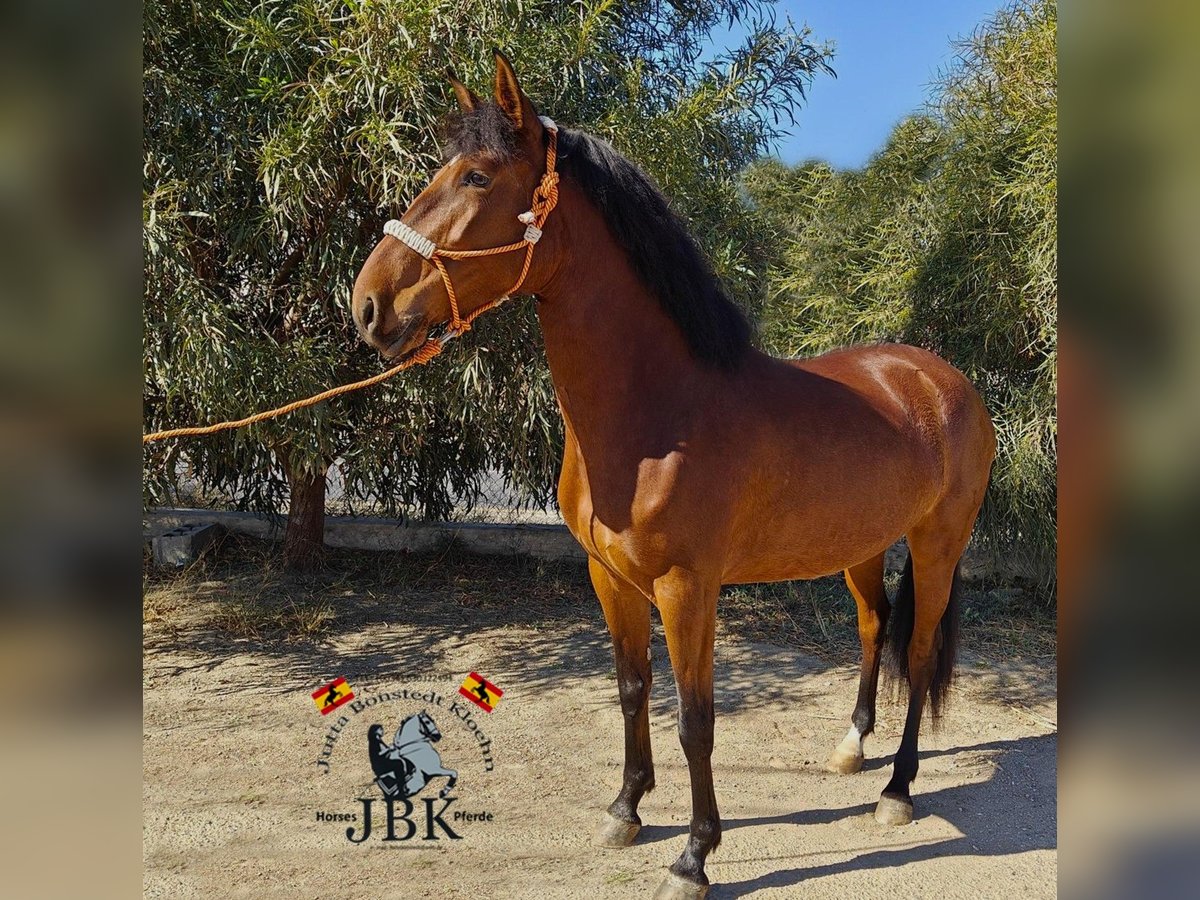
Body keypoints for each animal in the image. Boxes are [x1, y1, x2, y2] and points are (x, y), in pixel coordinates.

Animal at [350, 52, 998, 897]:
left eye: (479, 177)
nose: (369, 305)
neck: (658, 414)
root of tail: (940, 378)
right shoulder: (610, 578)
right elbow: (633, 692)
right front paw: (625, 810)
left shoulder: (688, 587)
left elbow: (696, 719)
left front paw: (694, 855)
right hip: (860, 546)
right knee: (872, 625)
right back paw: (854, 747)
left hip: (938, 543)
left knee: (916, 654)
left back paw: (896, 790)